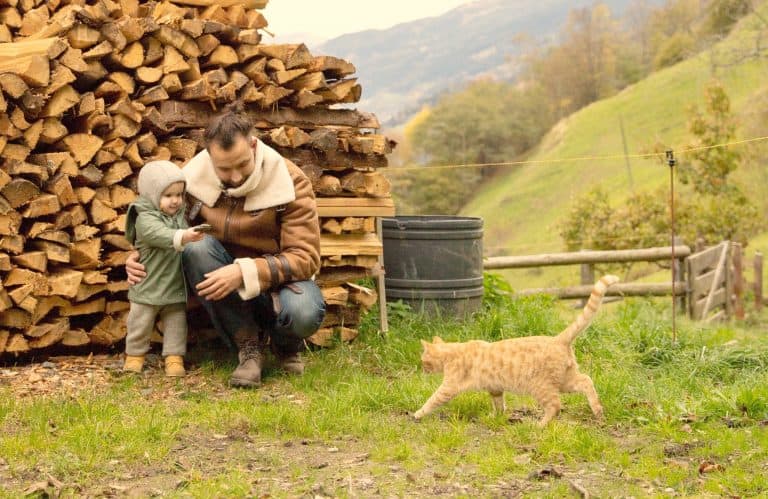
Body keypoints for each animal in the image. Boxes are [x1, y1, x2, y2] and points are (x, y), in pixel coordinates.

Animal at [414, 274, 616, 426]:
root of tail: (557, 339)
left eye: (423, 360)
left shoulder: (449, 387)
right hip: (565, 380)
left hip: (541, 386)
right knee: (586, 381)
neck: (453, 352)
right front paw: (496, 417)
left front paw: (418, 413)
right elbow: (498, 404)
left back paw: (540, 425)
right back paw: (598, 410)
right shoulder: (495, 387)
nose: (422, 369)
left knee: (555, 405)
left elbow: (432, 400)